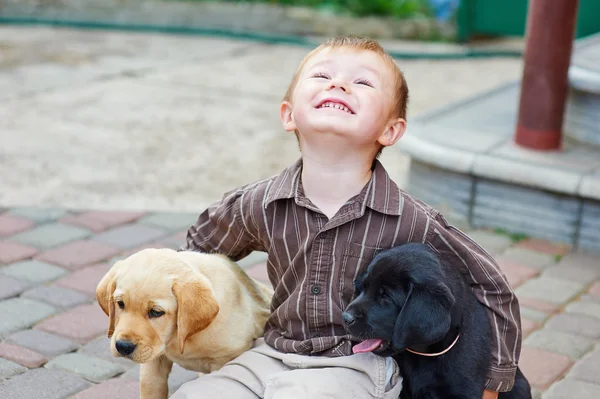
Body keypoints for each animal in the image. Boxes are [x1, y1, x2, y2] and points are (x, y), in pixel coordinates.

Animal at [95, 248, 274, 398]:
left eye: (156, 312)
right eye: (120, 303)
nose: (123, 346)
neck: (180, 338)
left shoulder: (226, 358)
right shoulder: (154, 360)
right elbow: (151, 387)